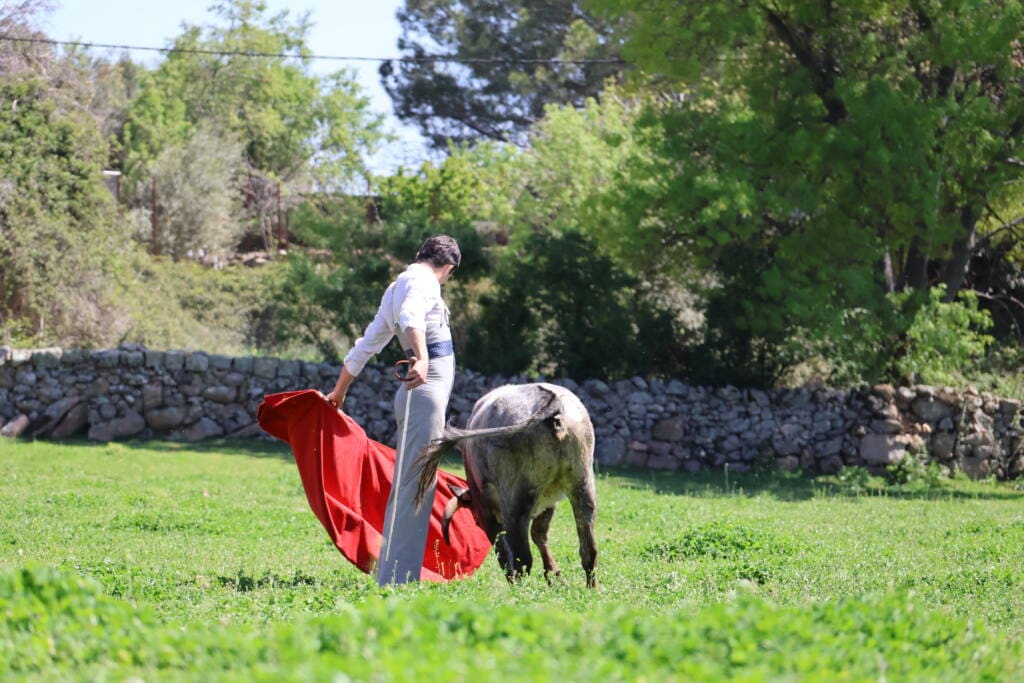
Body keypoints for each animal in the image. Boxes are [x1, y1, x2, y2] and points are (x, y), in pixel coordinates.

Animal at [411, 385, 598, 589]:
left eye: (476, 521)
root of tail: (553, 405)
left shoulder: (486, 511)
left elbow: (502, 546)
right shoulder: (548, 505)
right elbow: (539, 534)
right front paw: (555, 576)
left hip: (515, 501)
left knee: (522, 558)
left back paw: (519, 589)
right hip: (583, 485)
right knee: (588, 550)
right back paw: (591, 589)